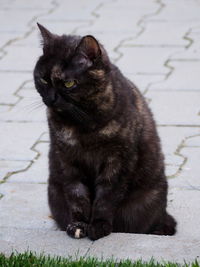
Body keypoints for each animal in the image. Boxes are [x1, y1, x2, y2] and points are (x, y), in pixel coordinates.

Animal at [33, 23, 176, 241]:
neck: (83, 122)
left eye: (68, 83)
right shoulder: (67, 158)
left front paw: (99, 226)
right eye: (43, 80)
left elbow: (106, 196)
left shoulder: (117, 160)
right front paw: (79, 225)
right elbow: (76, 194)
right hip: (54, 193)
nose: (51, 99)